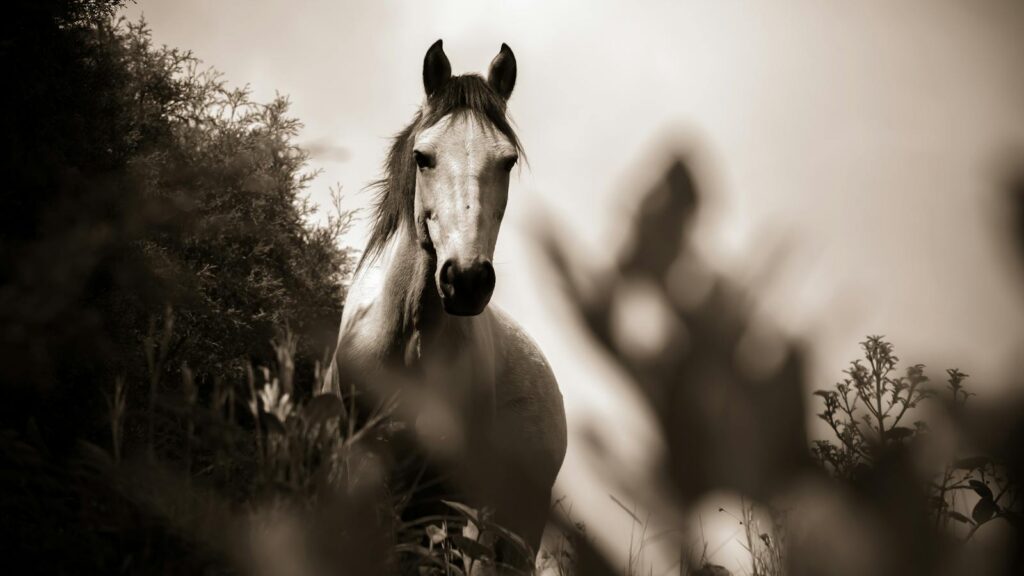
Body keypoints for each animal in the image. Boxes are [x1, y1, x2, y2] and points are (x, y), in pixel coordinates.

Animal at [325, 40, 567, 569]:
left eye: (507, 161)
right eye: (423, 157)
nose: (467, 280)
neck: (407, 339)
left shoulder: (440, 497)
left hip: (510, 528)